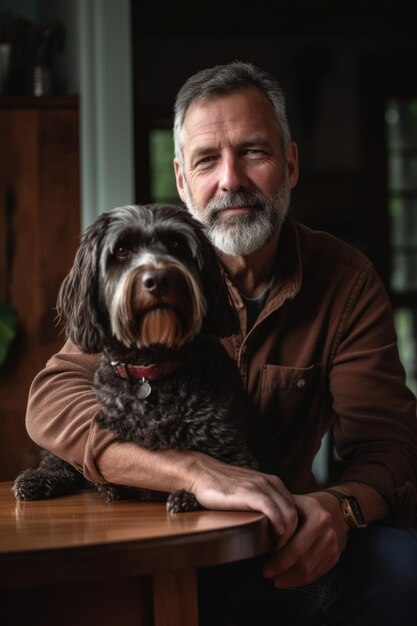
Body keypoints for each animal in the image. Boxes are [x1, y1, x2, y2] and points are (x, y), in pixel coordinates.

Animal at [13, 202, 258, 510]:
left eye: (176, 244)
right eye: (121, 250)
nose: (159, 279)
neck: (151, 367)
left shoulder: (235, 451)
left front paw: (187, 497)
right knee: (57, 460)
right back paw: (36, 479)